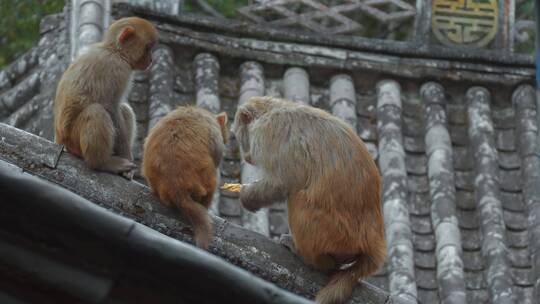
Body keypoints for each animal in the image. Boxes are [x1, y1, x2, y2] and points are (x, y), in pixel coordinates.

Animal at [54, 17, 158, 173]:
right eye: (148, 48)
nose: (151, 60)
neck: (114, 51)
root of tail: (61, 141)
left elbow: (117, 109)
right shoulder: (118, 69)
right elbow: (110, 107)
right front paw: (126, 156)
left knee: (124, 109)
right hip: (74, 142)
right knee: (97, 111)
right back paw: (102, 163)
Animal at [141, 107, 228, 249]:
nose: (226, 138)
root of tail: (177, 187)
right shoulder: (214, 132)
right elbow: (216, 154)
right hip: (204, 180)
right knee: (212, 182)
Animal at [234, 97, 386, 304]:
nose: (246, 157)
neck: (271, 111)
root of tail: (372, 244)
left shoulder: (269, 132)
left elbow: (283, 182)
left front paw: (248, 197)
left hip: (335, 235)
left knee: (297, 197)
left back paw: (310, 258)